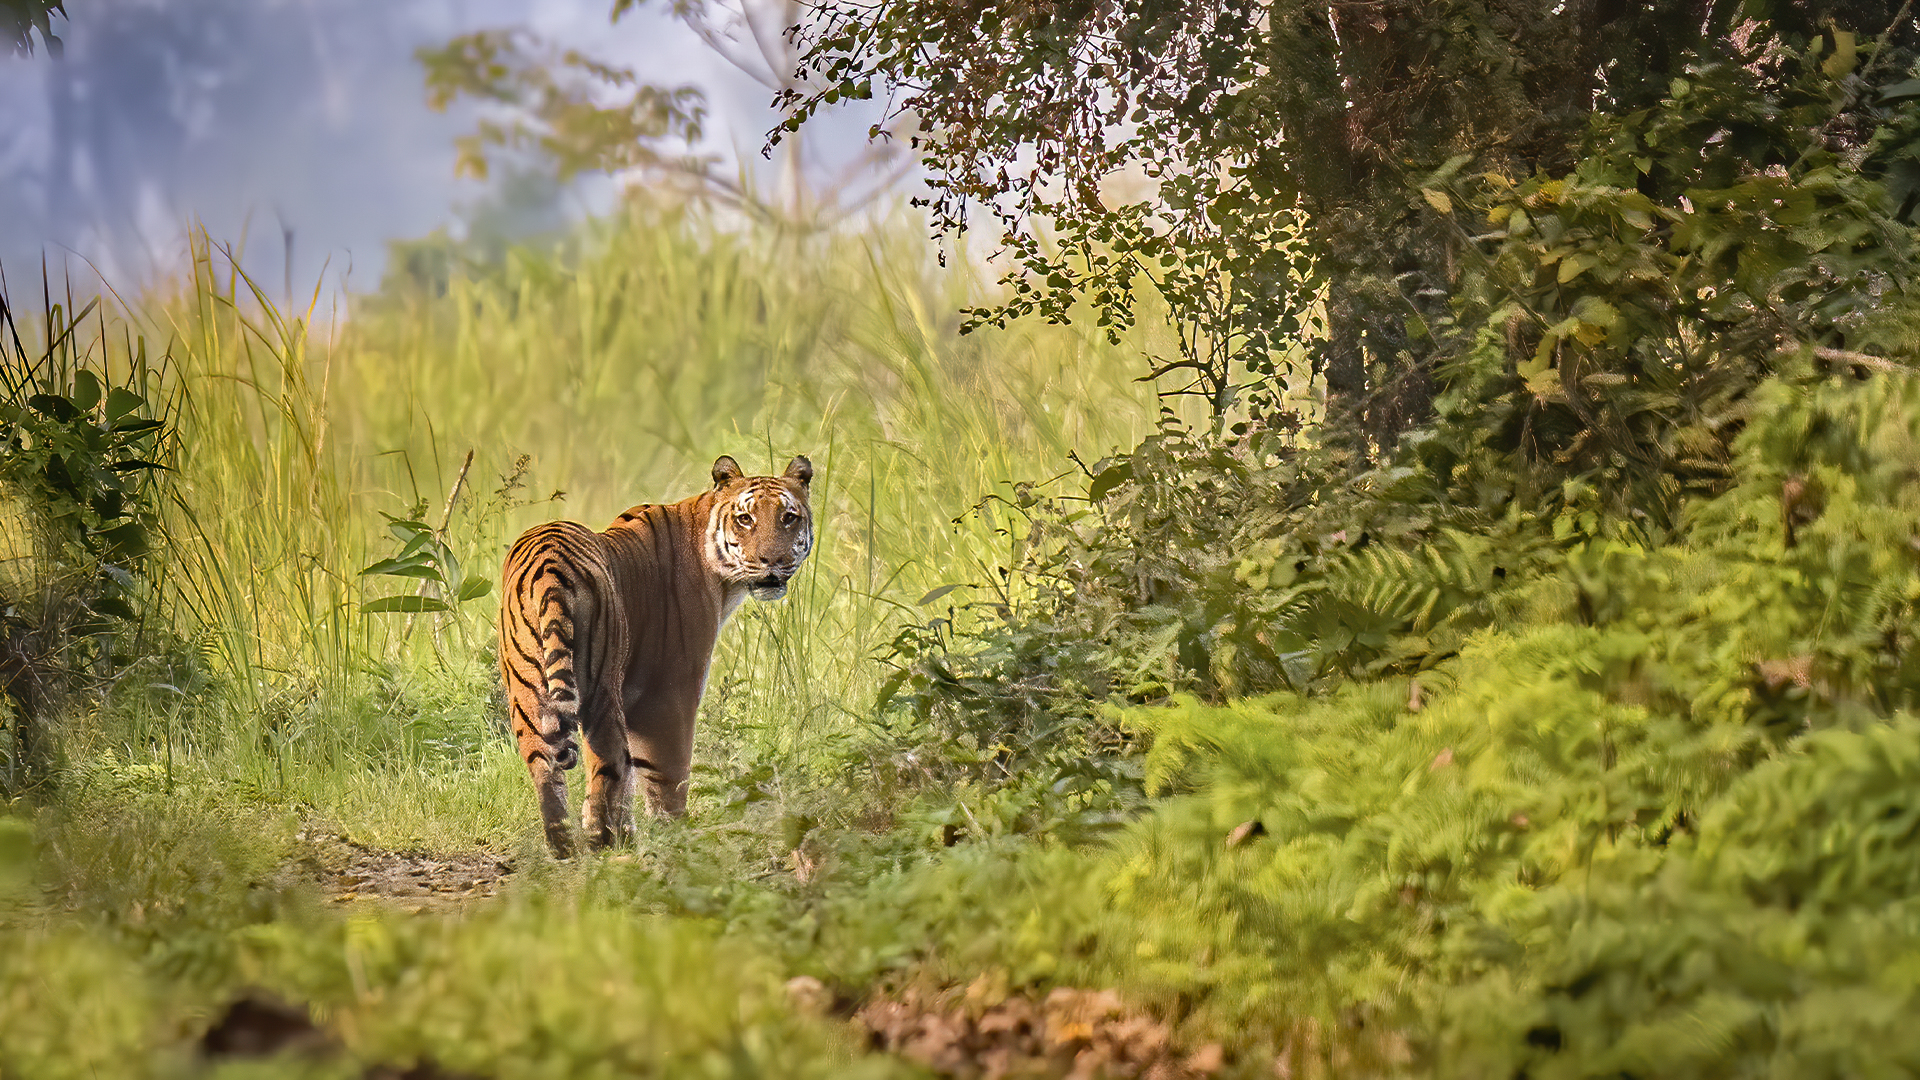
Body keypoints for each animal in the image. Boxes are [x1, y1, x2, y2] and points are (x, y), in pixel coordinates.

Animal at [495, 449, 810, 853]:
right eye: (745, 519)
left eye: (788, 517)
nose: (772, 562)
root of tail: (549, 567)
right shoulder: (668, 696)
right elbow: (665, 777)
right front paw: (677, 837)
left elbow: (629, 781)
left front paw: (634, 832)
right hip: (600, 689)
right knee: (604, 764)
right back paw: (603, 843)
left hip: (528, 695)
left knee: (546, 769)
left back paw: (564, 847)